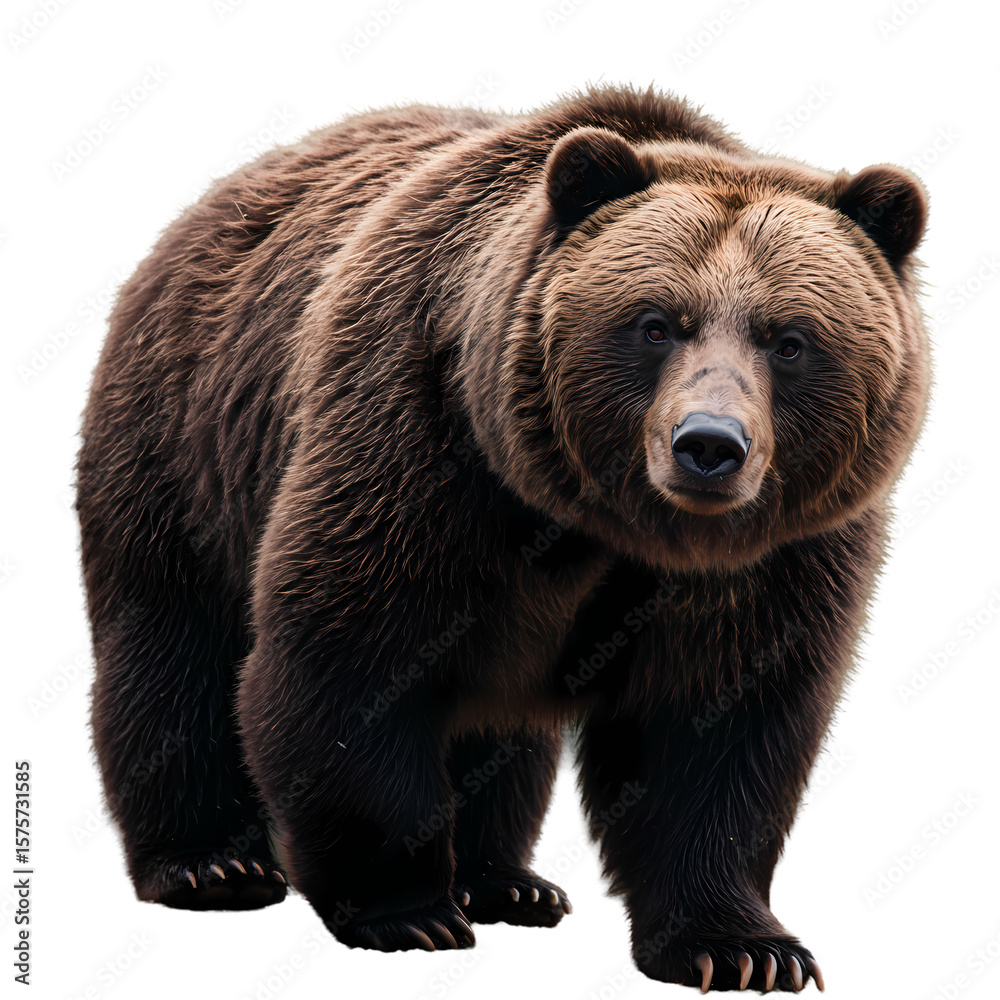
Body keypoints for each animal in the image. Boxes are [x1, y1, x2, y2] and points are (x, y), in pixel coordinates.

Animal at [76, 84, 929, 993]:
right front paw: (404, 909)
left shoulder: (779, 554)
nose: (708, 444)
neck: (602, 520)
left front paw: (743, 946)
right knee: (173, 651)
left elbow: (716, 725)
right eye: (656, 323)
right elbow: (352, 658)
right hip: (185, 444)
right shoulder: (423, 444)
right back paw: (209, 864)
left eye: (790, 338)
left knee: (500, 729)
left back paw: (507, 882)